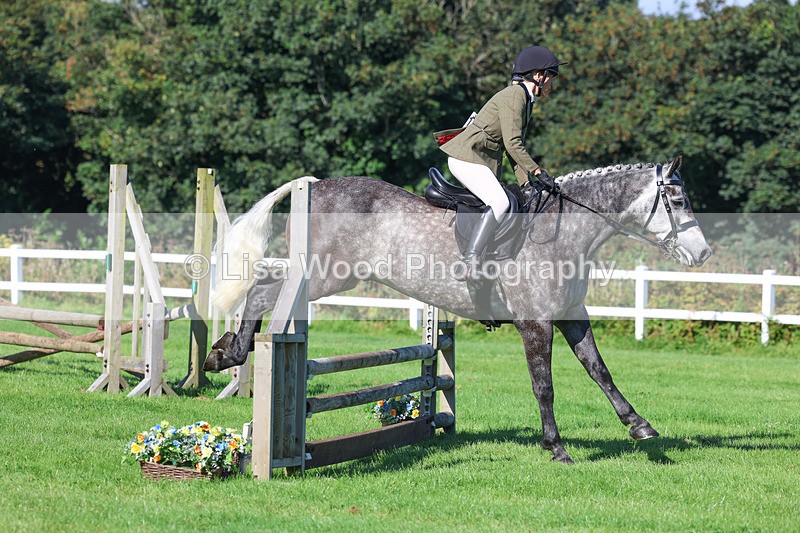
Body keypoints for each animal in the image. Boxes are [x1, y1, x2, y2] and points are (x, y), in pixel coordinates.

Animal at [204, 153, 712, 464]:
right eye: (678, 200)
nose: (703, 254)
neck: (565, 232)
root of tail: (316, 185)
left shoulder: (571, 315)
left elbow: (599, 371)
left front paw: (639, 426)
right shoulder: (536, 323)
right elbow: (544, 386)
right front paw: (557, 448)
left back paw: (226, 350)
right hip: (328, 273)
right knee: (264, 290)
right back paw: (227, 352)